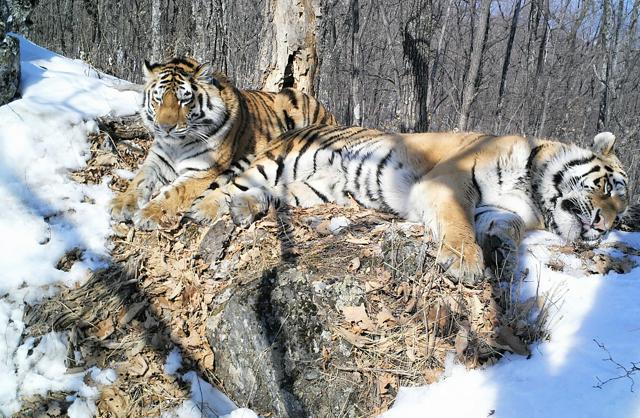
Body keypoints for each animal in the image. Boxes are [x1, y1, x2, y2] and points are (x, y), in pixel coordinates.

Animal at [110, 56, 338, 229]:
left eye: (184, 99)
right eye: (158, 98)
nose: (165, 128)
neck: (177, 145)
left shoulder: (204, 171)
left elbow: (174, 193)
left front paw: (148, 213)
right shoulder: (156, 161)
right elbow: (138, 181)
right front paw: (120, 205)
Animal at [190, 125, 632, 284]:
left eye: (622, 213)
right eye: (609, 188)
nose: (605, 226)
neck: (533, 190)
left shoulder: (501, 210)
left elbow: (504, 230)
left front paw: (504, 257)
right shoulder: (449, 182)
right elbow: (457, 223)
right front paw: (465, 262)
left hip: (312, 190)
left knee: (268, 196)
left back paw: (244, 209)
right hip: (283, 161)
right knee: (227, 186)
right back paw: (204, 210)